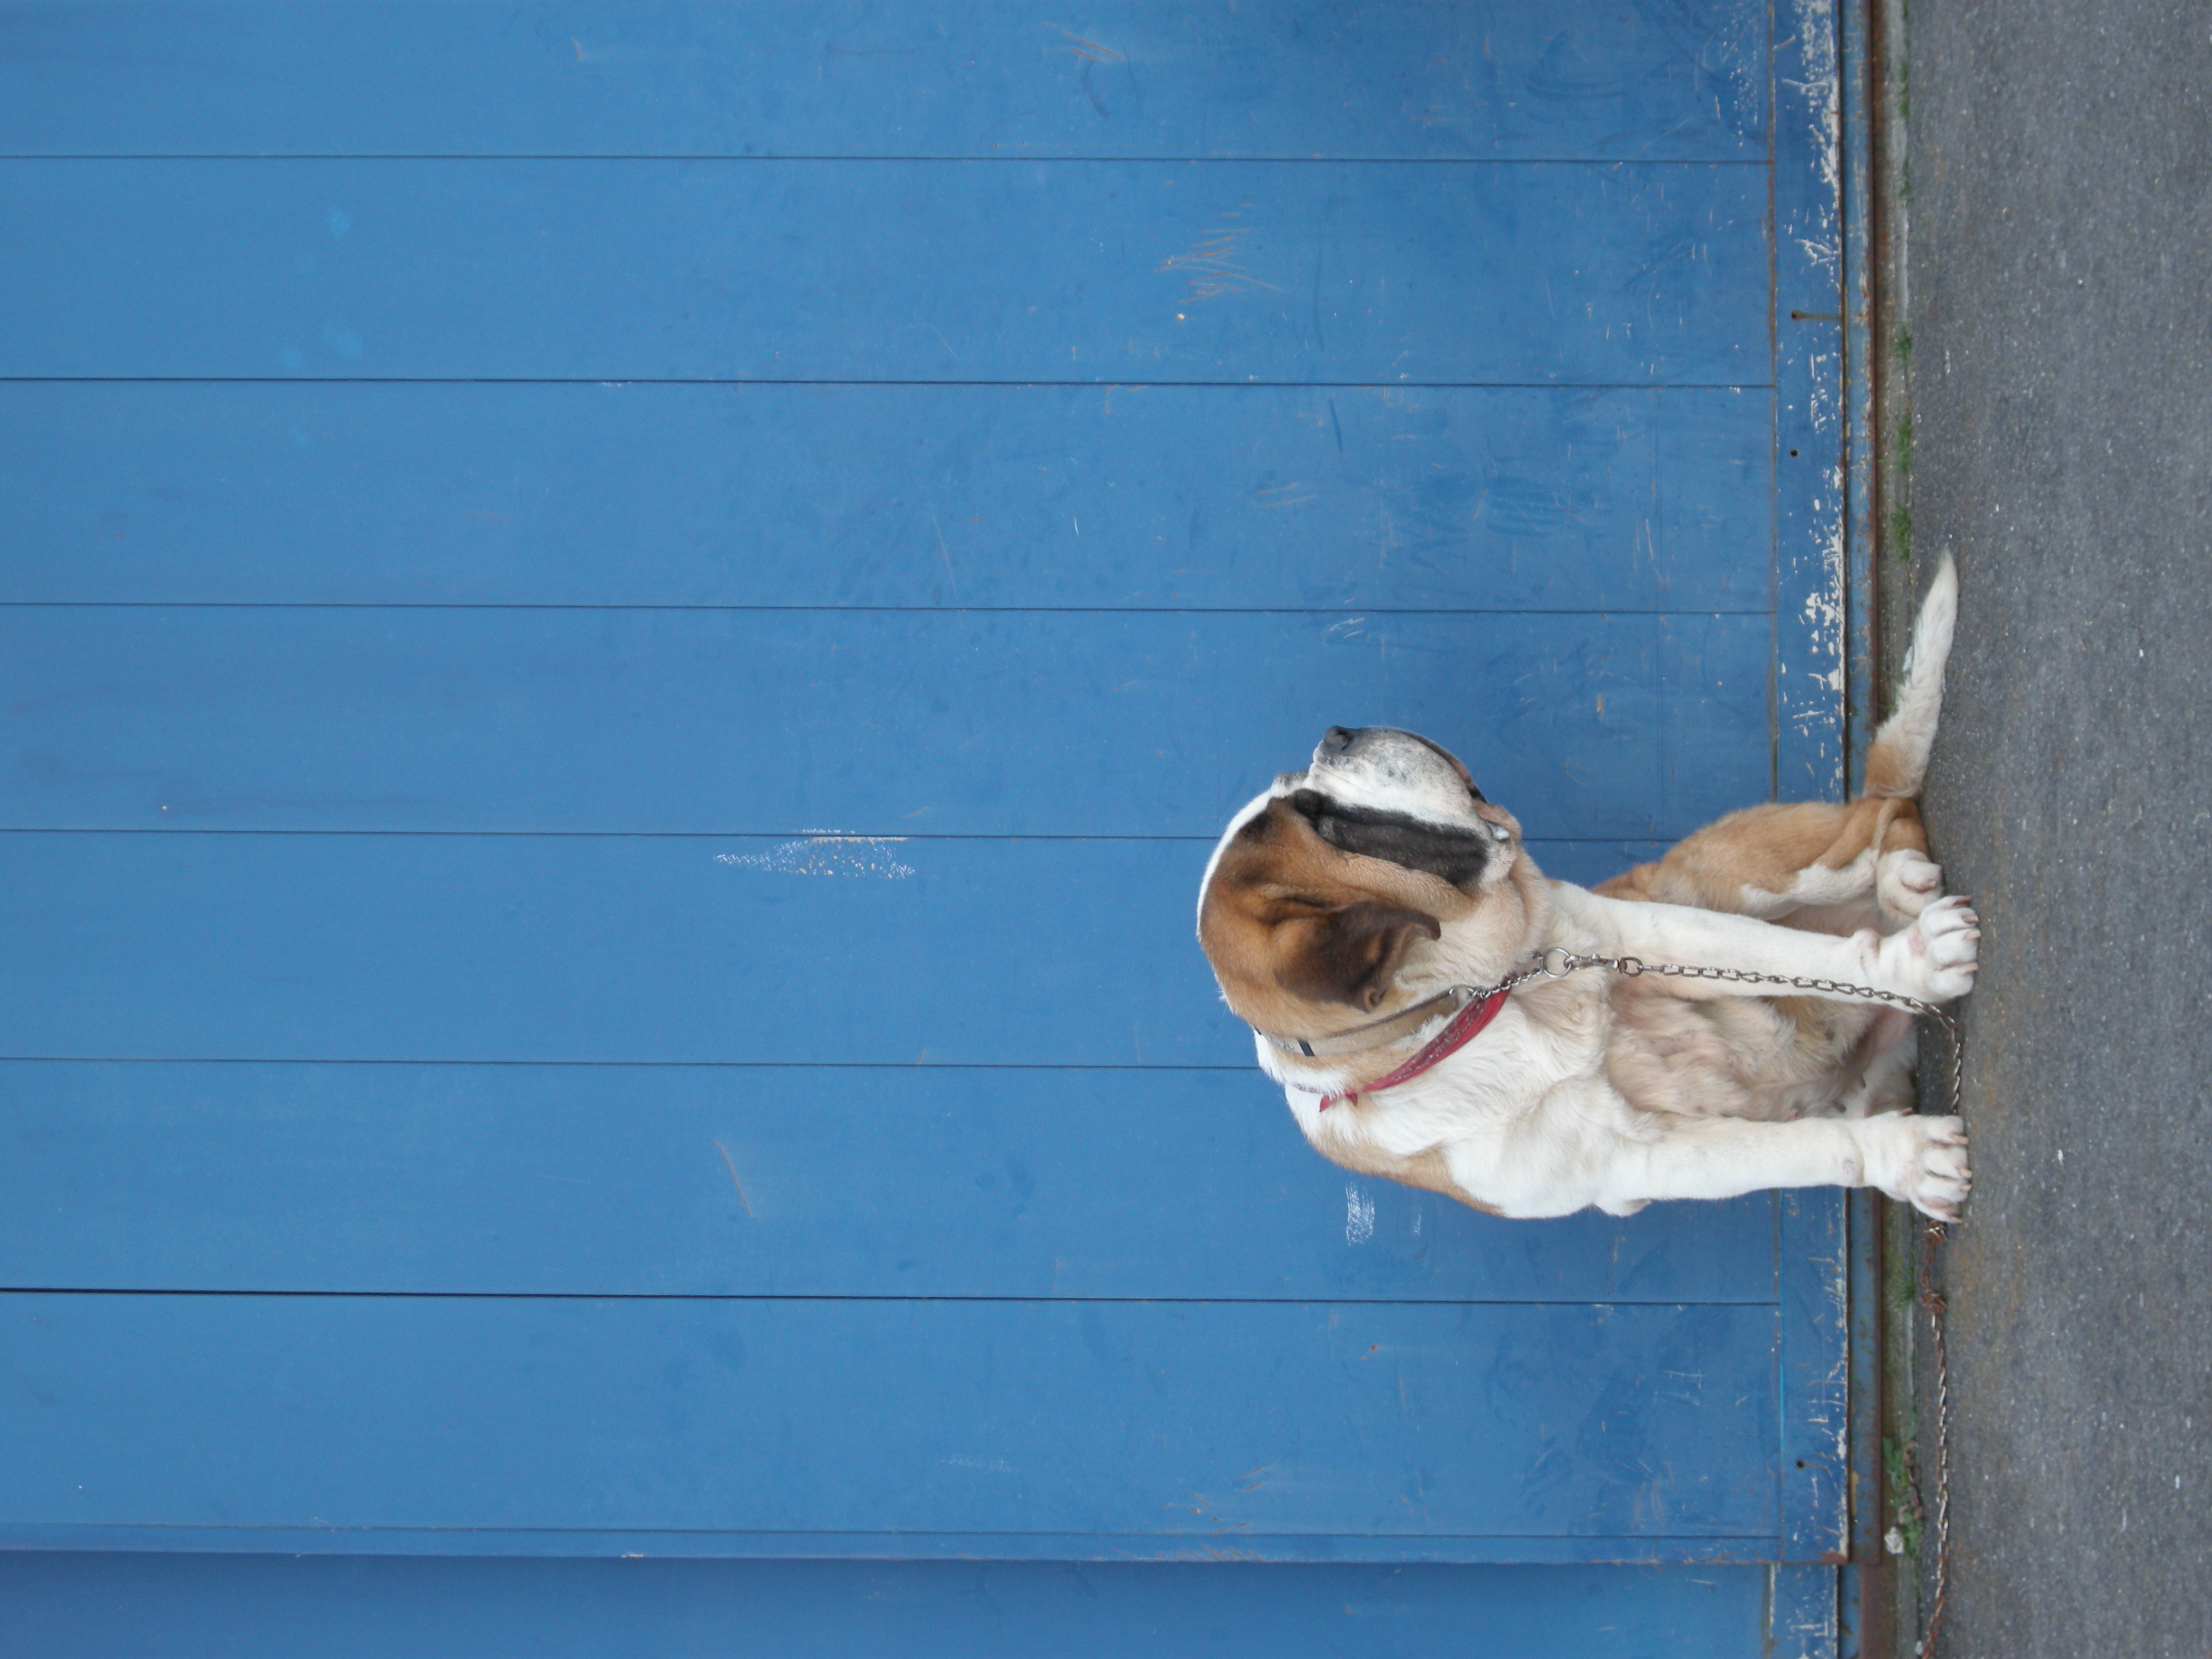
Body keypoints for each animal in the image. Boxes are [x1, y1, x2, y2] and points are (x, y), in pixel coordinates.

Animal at [1203, 560, 1982, 1221]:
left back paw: (1900, 882)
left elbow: (1799, 960)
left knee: (1877, 819)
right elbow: (1801, 1150)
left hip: (1716, 878)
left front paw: (1915, 964)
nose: (1337, 733)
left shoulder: (1646, 934)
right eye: (1327, 821)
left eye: (1307, 797)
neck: (1490, 995)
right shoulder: (1632, 1157)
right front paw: (1908, 1158)